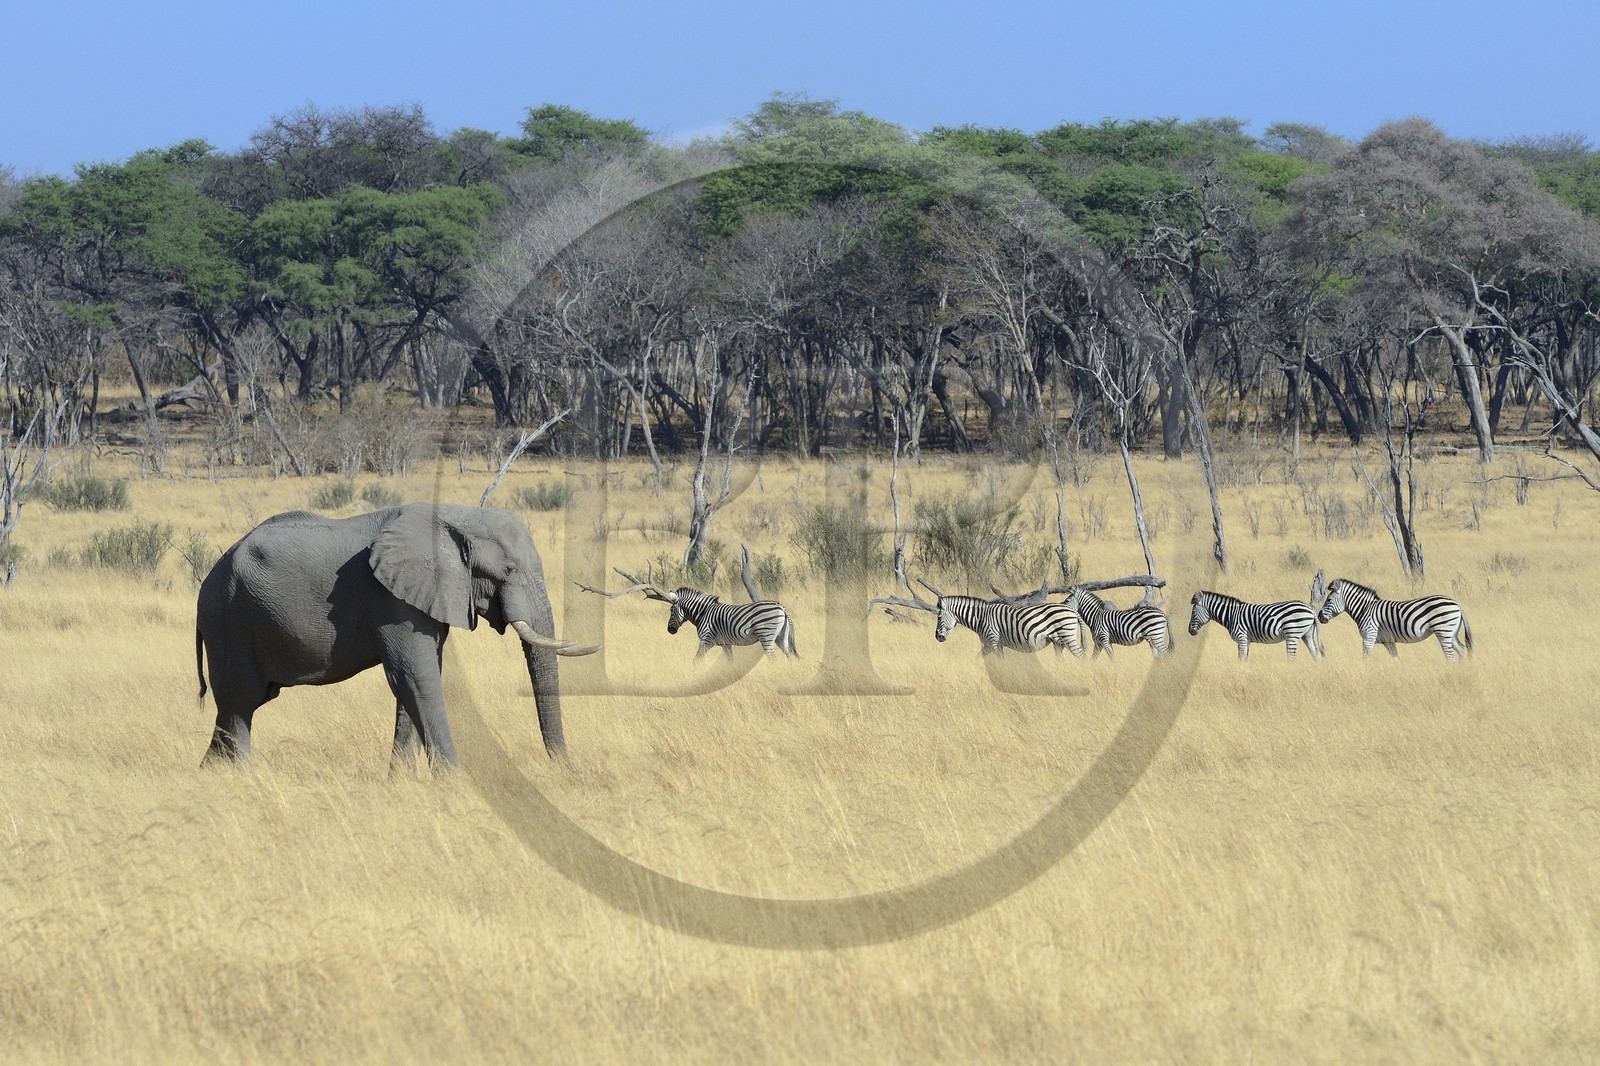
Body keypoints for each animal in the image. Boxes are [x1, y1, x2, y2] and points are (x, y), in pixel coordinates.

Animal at [195, 503, 599, 770]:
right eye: (509, 570)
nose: (563, 769)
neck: (457, 515)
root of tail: (208, 578)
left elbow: (412, 682)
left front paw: (401, 780)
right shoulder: (389, 597)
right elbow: (417, 677)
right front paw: (453, 781)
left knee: (236, 707)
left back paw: (210, 774)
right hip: (229, 620)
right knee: (240, 703)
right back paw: (241, 777)